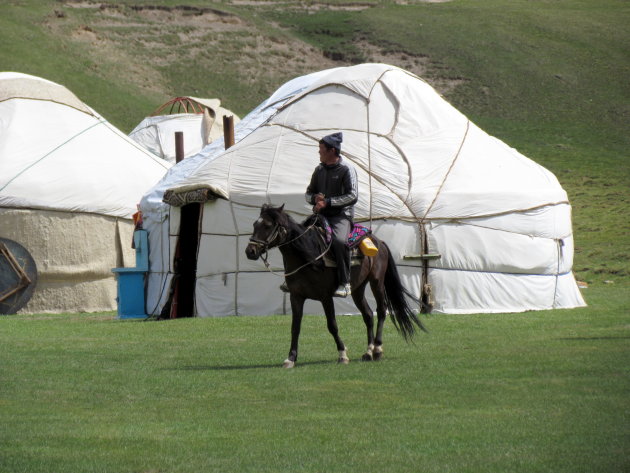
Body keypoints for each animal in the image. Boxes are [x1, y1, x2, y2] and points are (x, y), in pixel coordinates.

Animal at [244, 202, 428, 366]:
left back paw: (377, 350)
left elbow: (332, 325)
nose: (250, 251)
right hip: (358, 288)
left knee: (381, 311)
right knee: (368, 315)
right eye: (254, 224)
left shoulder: (325, 297)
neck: (309, 256)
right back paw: (368, 352)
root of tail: (379, 242)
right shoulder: (296, 296)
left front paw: (342, 354)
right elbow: (295, 327)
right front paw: (291, 358)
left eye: (267, 225)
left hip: (377, 281)